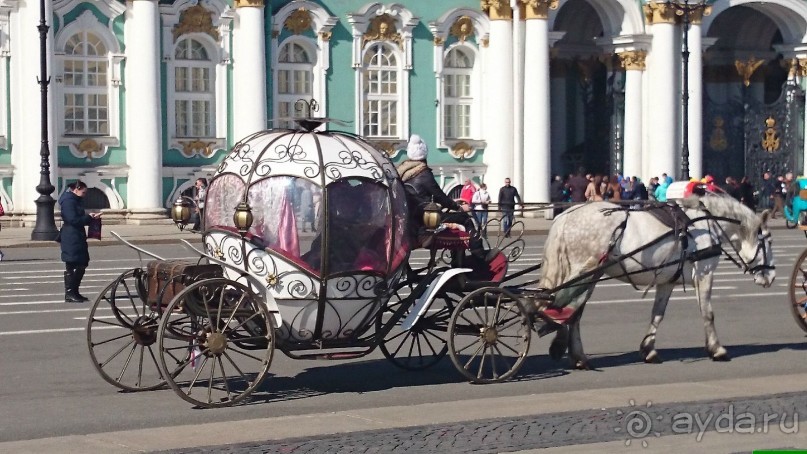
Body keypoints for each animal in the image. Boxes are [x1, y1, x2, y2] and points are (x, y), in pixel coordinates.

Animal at [540, 195, 772, 368]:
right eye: (768, 240)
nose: (771, 277)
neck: (706, 223)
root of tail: (566, 216)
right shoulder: (704, 274)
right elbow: (708, 313)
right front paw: (717, 349)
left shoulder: (667, 281)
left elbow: (657, 314)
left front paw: (649, 350)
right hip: (587, 273)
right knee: (571, 312)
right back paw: (578, 356)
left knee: (565, 309)